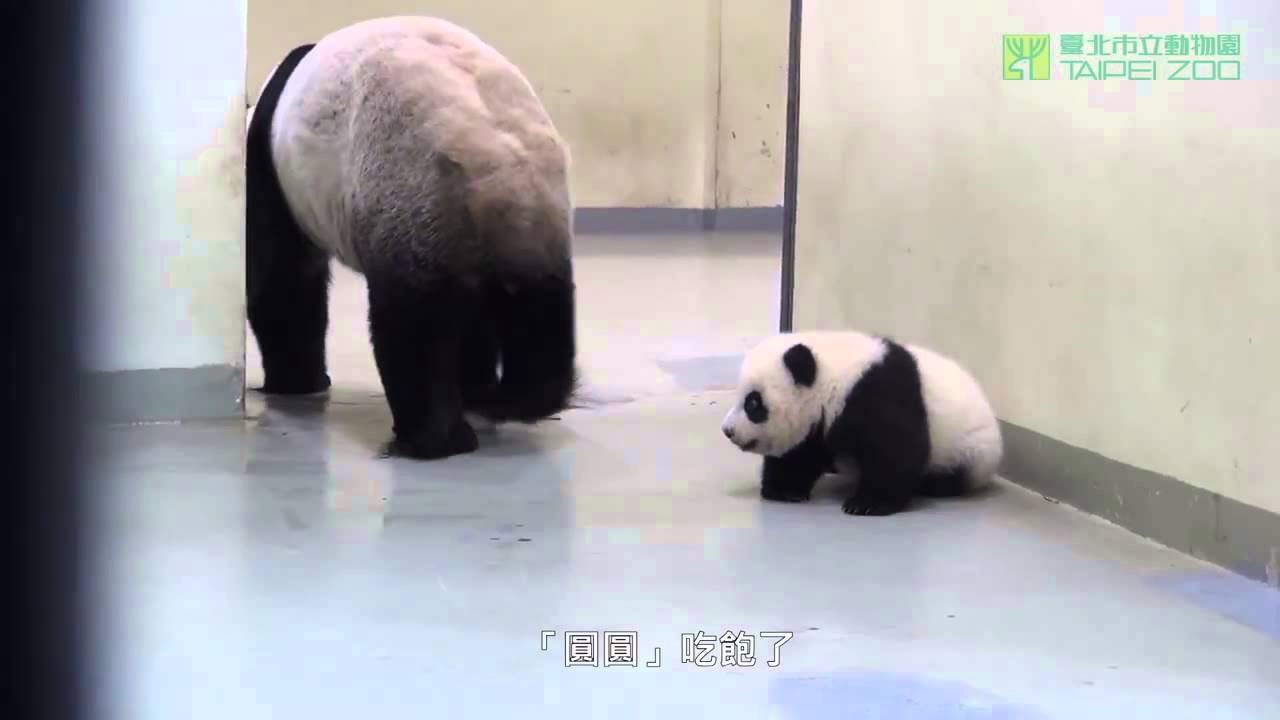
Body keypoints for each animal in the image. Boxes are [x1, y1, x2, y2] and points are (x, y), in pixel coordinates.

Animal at [245, 16, 579, 460]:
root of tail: (497, 164)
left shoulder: (274, 174)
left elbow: (282, 280)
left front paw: (294, 384)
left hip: (409, 190)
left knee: (414, 323)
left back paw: (431, 438)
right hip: (537, 228)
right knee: (536, 315)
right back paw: (494, 399)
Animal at [719, 331, 1003, 516]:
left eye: (753, 404)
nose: (727, 431)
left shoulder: (877, 393)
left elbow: (896, 449)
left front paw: (866, 504)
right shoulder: (818, 424)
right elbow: (799, 453)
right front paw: (784, 490)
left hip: (970, 450)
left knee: (953, 474)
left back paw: (931, 485)